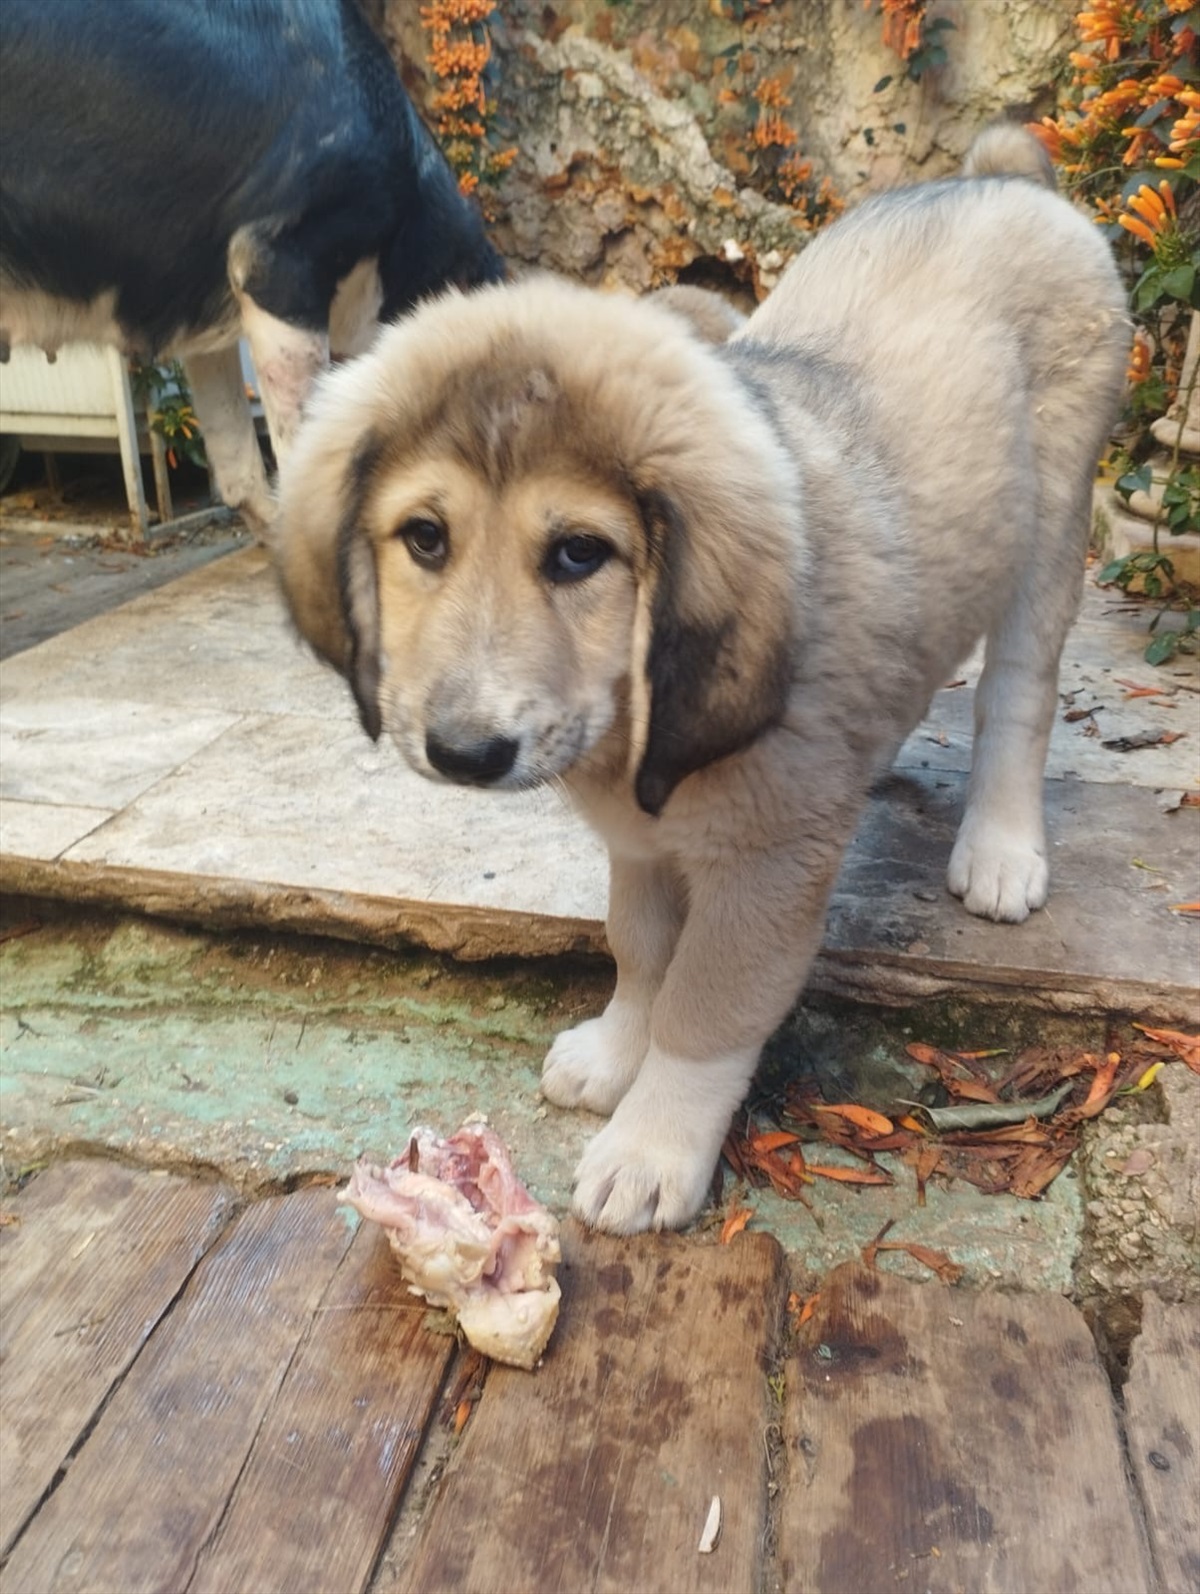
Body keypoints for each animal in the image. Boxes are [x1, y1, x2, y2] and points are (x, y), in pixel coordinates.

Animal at [275, 130, 1128, 1236]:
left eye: (580, 554)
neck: (637, 724)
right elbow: (641, 951)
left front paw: (652, 1143)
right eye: (425, 538)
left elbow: (704, 1006)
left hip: (1054, 522)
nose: (463, 753)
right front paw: (614, 1052)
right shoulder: (642, 848)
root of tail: (1002, 176)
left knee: (1017, 695)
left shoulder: (765, 867)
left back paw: (1001, 849)